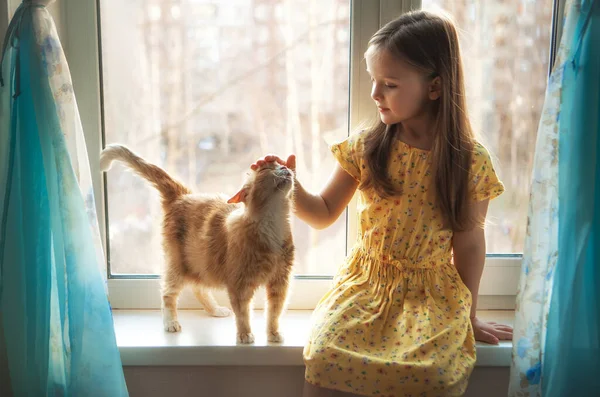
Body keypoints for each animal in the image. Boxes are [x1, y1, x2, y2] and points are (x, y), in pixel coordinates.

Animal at [101, 144, 296, 342]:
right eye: (266, 169)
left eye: (279, 164)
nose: (286, 167)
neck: (272, 224)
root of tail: (183, 196)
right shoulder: (239, 285)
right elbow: (243, 314)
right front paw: (245, 334)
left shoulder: (280, 283)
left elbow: (274, 313)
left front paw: (273, 333)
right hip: (177, 267)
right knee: (167, 294)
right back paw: (170, 322)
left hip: (203, 264)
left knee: (198, 289)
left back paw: (215, 310)